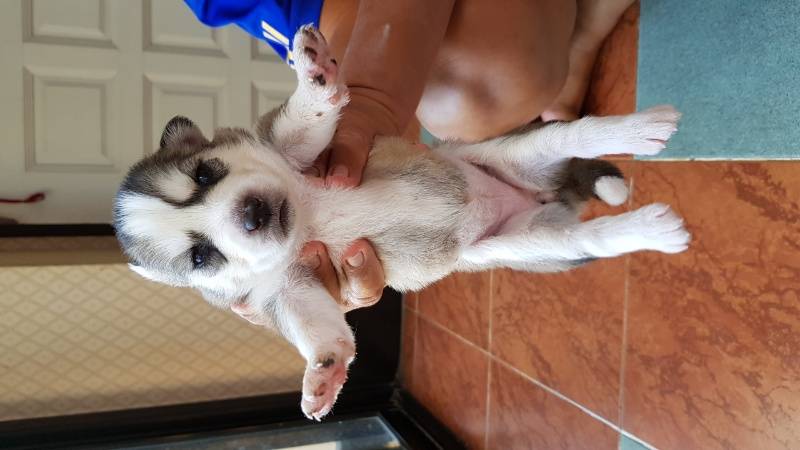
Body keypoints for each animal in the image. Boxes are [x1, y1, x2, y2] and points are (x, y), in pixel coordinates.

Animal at [113, 25, 689, 420]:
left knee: (571, 136)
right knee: (590, 236)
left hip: (512, 153)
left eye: (205, 173)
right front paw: (323, 373)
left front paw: (313, 70)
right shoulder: (283, 289)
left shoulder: (296, 149)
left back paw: (641, 130)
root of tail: (539, 195)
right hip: (521, 242)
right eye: (201, 256)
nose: (252, 213)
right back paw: (652, 228)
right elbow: (310, 322)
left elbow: (306, 118)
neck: (305, 213)